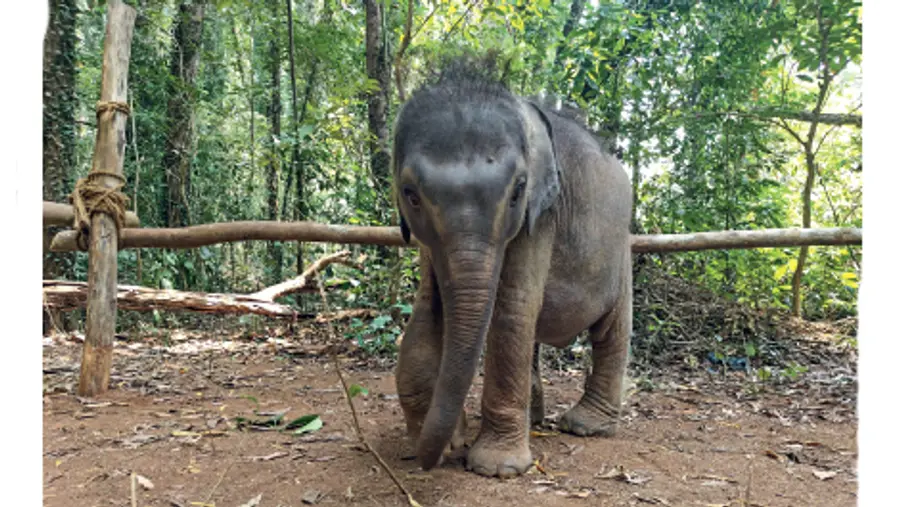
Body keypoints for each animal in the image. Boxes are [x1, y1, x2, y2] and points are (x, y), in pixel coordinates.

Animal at [392, 58, 632, 478]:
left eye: (519, 189)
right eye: (411, 195)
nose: (432, 458)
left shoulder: (542, 215)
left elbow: (512, 308)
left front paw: (497, 467)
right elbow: (427, 307)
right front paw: (437, 439)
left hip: (623, 249)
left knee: (611, 331)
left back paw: (585, 425)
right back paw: (535, 420)